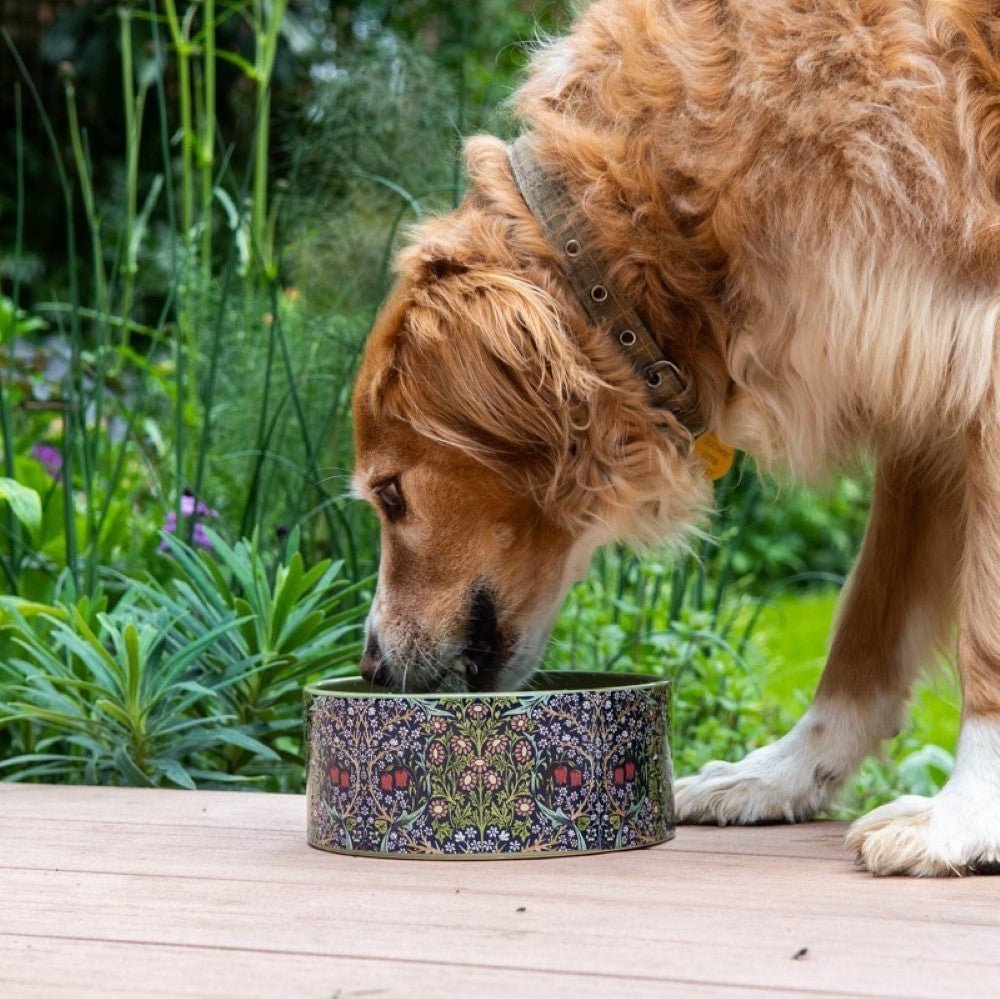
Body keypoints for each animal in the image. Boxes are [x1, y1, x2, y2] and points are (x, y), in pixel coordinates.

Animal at [354, 0, 1000, 876]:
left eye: (391, 495)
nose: (370, 665)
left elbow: (984, 636)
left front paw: (965, 816)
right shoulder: (918, 368)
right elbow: (868, 625)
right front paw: (783, 772)